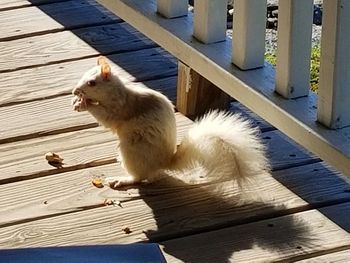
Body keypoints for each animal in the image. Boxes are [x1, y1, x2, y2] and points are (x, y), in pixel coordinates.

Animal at [70, 56, 268, 189]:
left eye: (92, 83)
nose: (74, 91)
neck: (116, 90)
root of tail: (163, 163)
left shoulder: (120, 108)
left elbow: (105, 117)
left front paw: (84, 104)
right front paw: (77, 102)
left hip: (132, 151)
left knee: (139, 177)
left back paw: (121, 180)